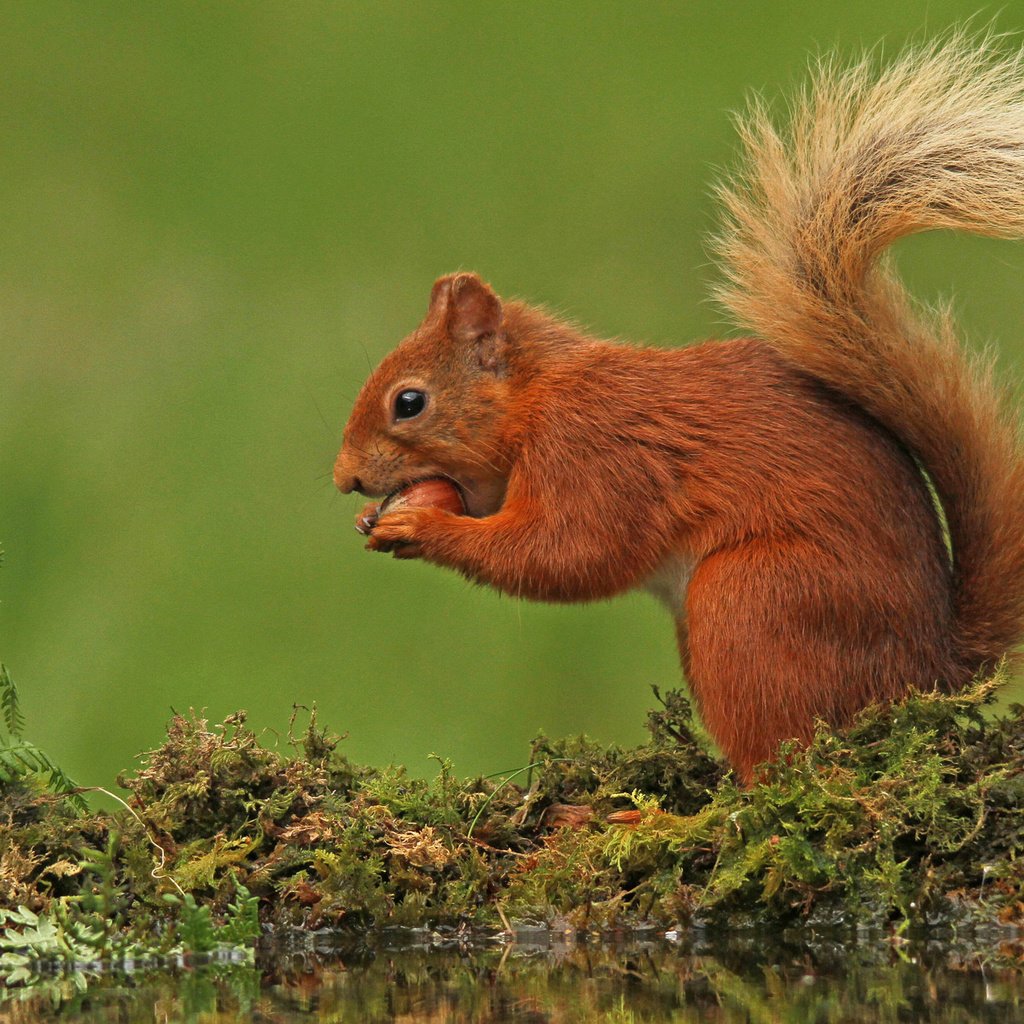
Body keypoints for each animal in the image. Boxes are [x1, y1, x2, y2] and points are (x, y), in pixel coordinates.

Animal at [333, 36, 1024, 778]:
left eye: (409, 402)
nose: (344, 478)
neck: (539, 397)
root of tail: (931, 677)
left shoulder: (594, 453)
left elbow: (566, 553)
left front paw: (423, 527)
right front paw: (375, 517)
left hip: (750, 602)